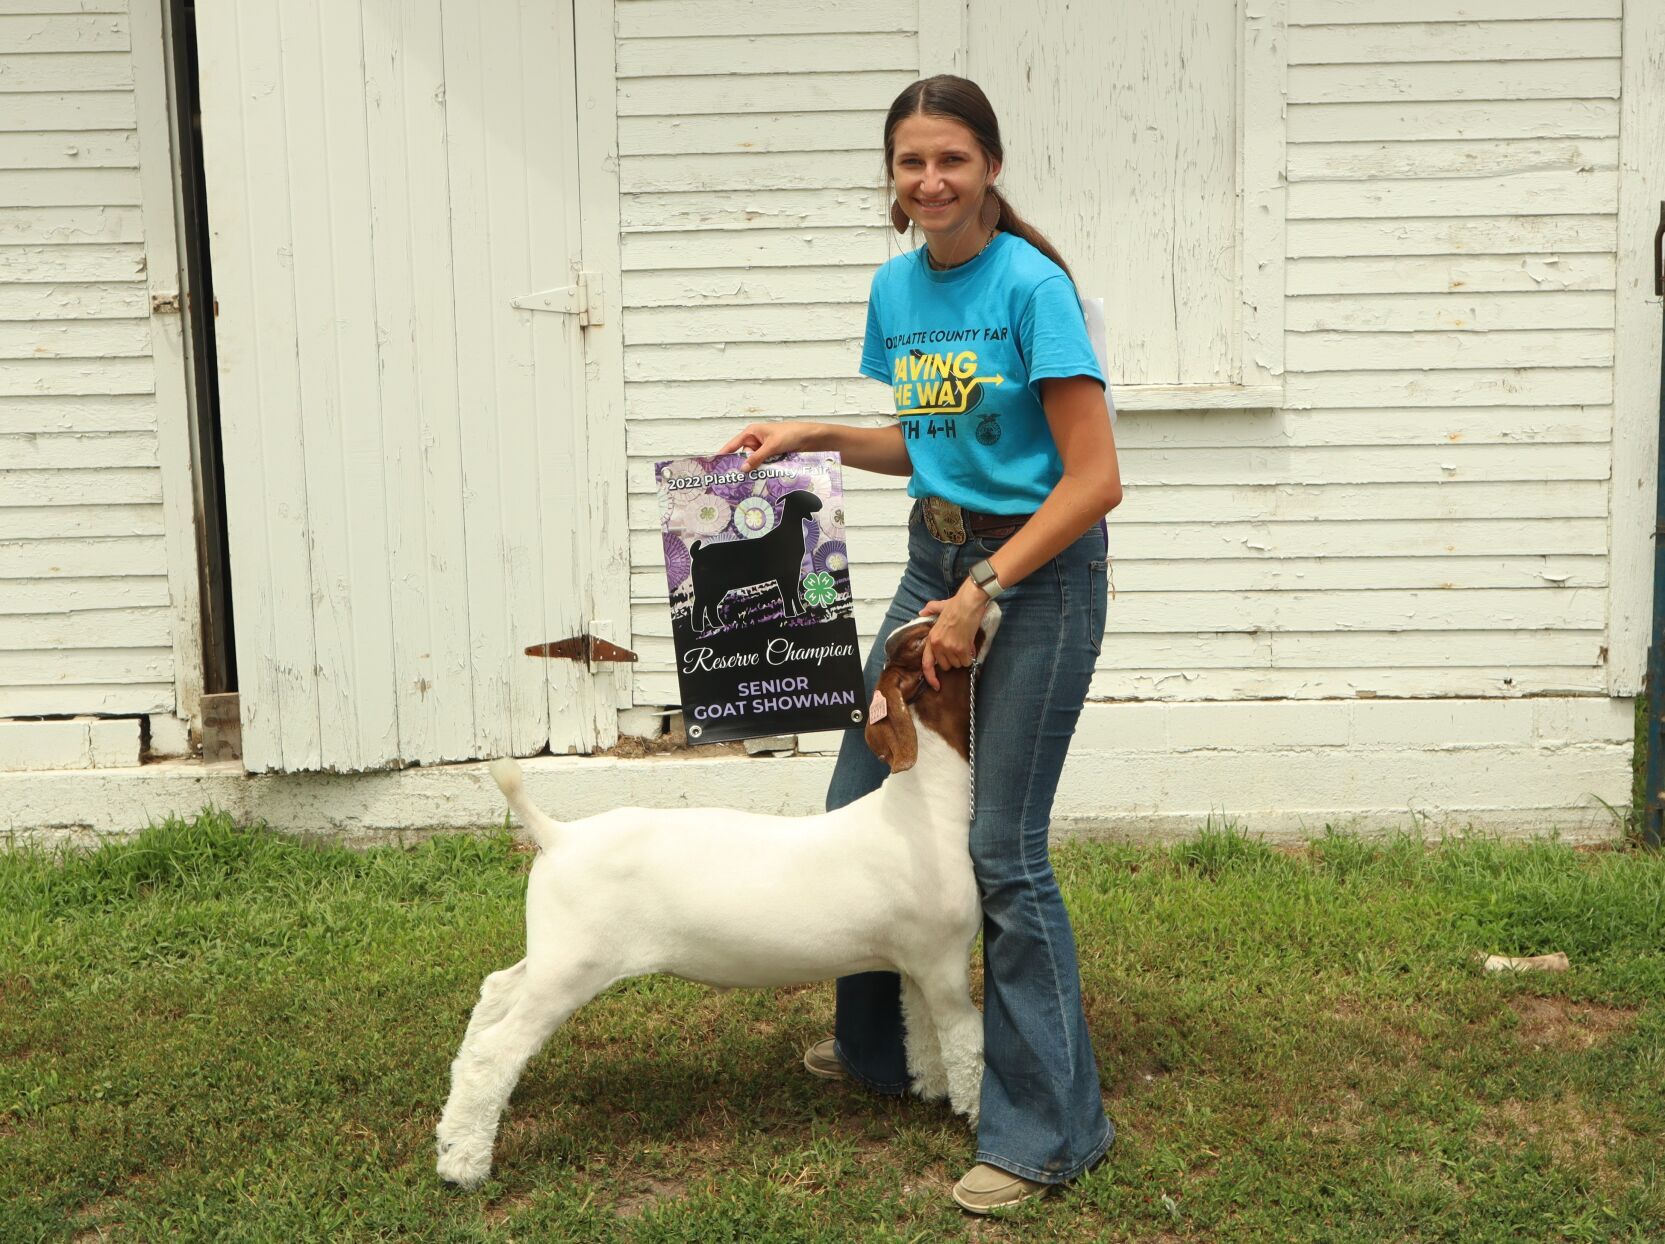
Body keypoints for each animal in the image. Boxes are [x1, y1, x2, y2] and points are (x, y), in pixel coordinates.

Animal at [432, 609, 999, 1192]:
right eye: (928, 637)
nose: (987, 607)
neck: (921, 808)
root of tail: (560, 835)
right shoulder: (944, 964)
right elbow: (967, 1043)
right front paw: (975, 1119)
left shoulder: (916, 965)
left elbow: (923, 1033)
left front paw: (932, 1090)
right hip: (571, 969)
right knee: (494, 1051)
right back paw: (464, 1164)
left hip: (553, 952)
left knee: (494, 997)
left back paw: (455, 1129)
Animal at [685, 489, 822, 636]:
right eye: (804, 496)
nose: (820, 503)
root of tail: (697, 553)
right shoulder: (783, 574)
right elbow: (786, 594)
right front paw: (790, 614)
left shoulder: (794, 571)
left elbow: (793, 593)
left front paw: (800, 612)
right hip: (707, 588)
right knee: (699, 607)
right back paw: (699, 629)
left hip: (717, 589)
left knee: (710, 607)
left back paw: (718, 625)